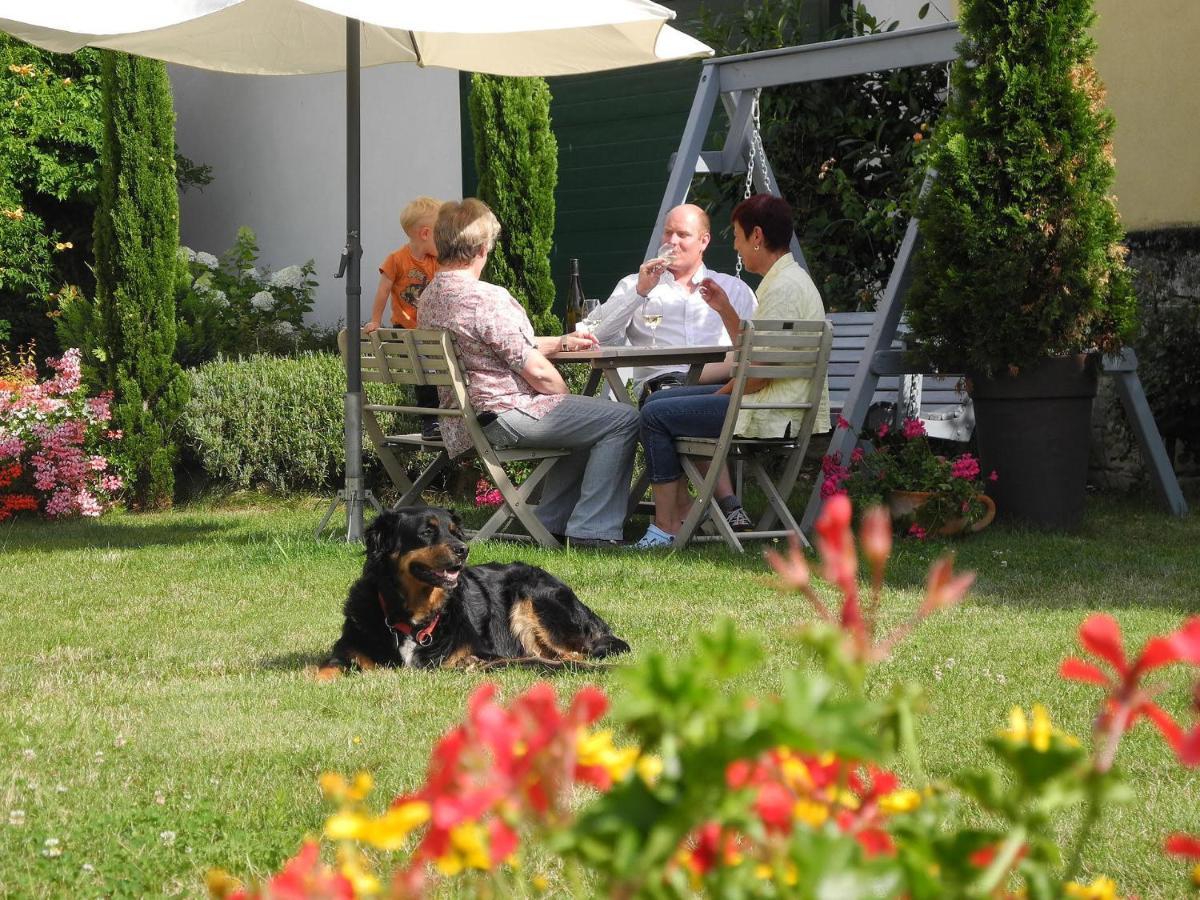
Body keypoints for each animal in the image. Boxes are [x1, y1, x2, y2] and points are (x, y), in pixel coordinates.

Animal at [314, 508, 633, 676]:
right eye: (427, 532)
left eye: (456, 532)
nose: (463, 549)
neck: (413, 618)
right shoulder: (348, 651)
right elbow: (325, 669)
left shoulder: (481, 654)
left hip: (533, 597)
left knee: (571, 655)